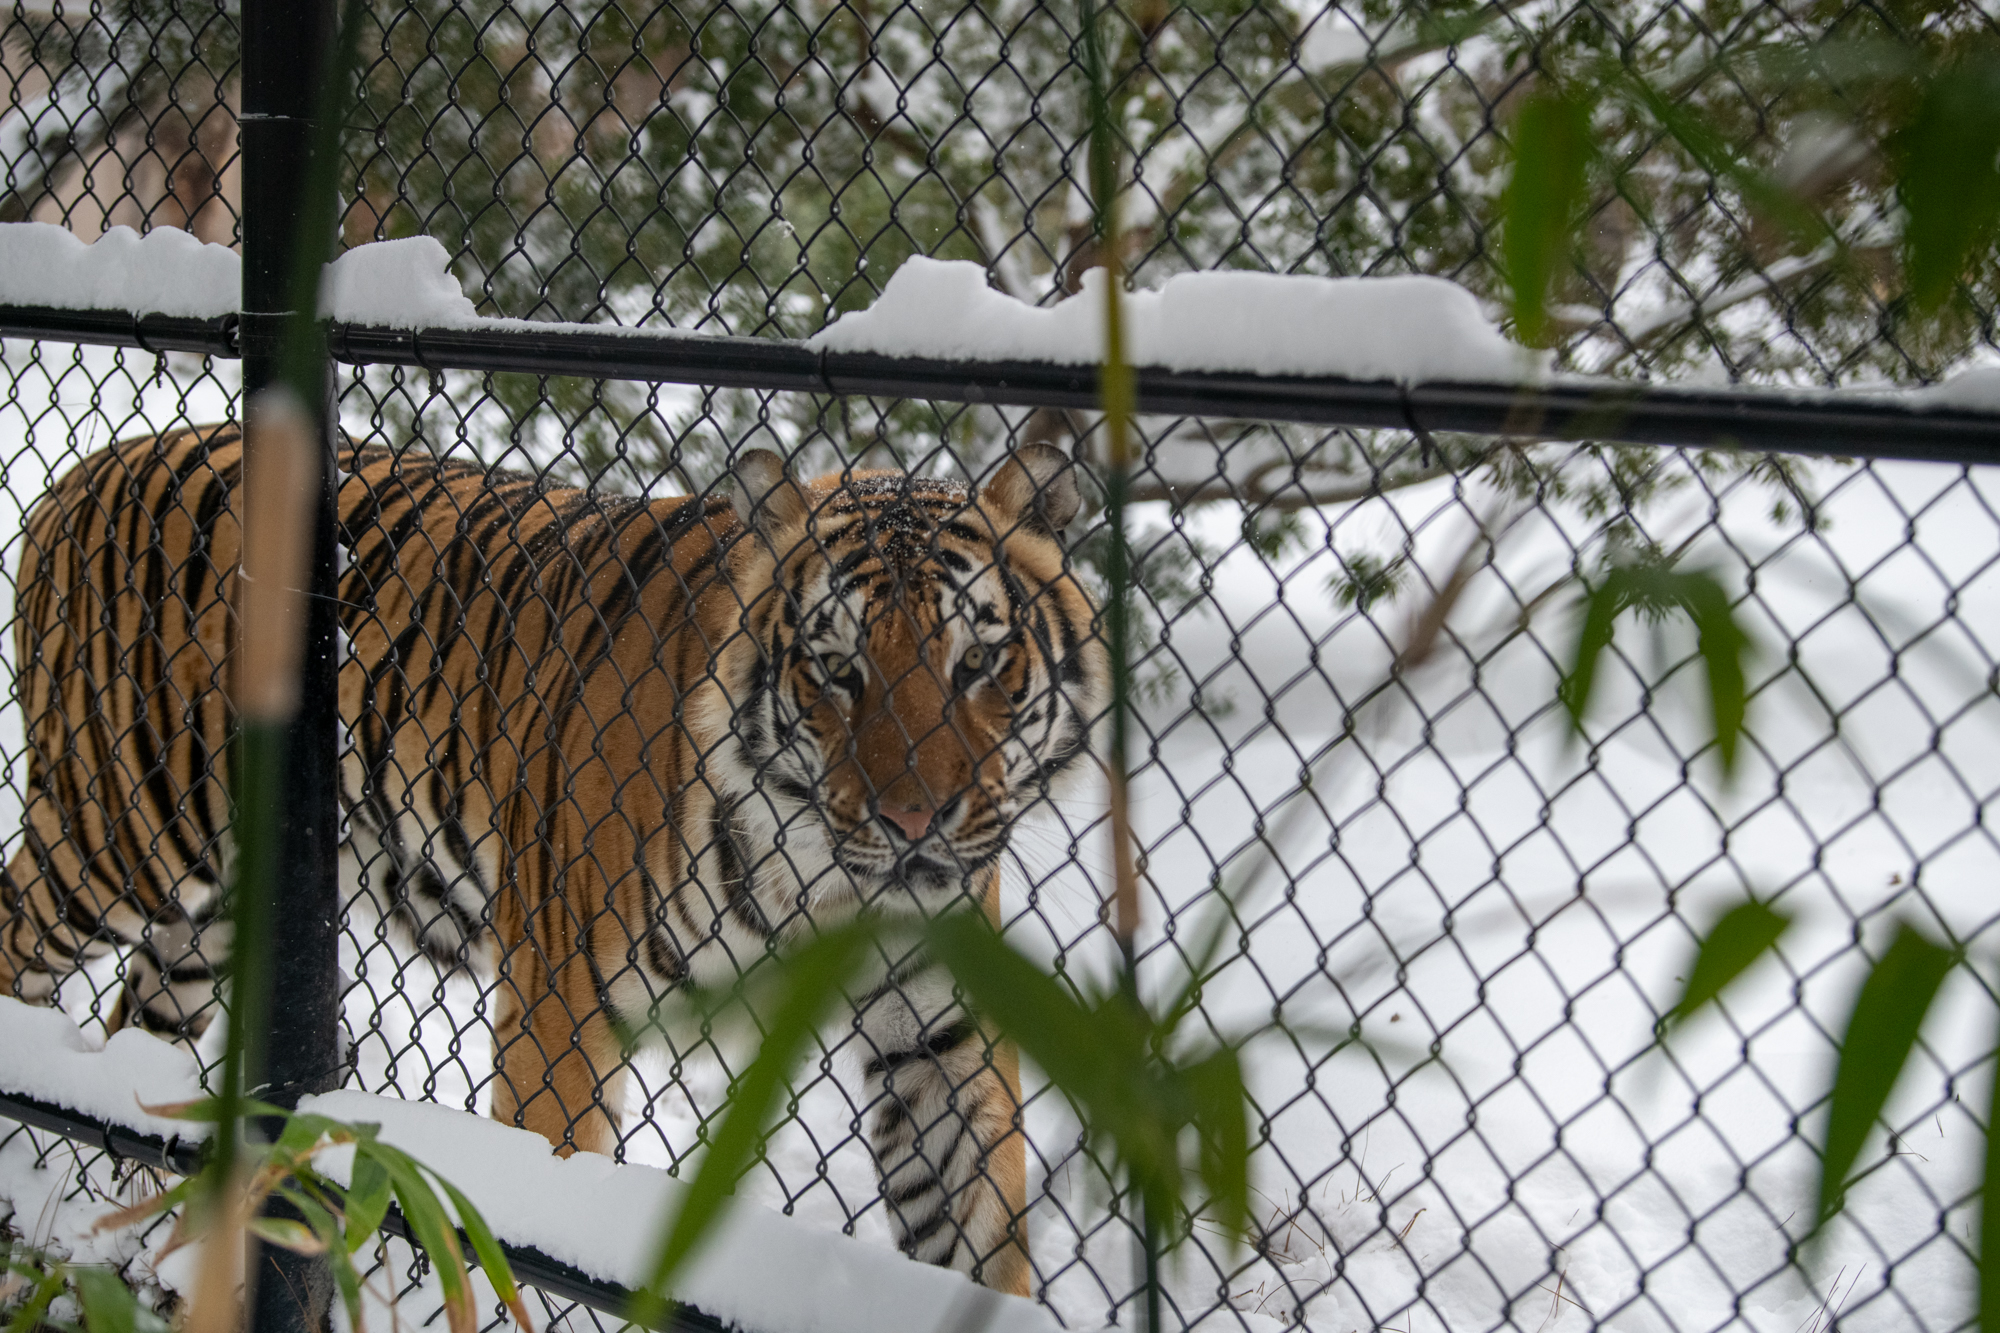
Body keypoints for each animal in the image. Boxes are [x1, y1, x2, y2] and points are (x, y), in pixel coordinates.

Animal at [0, 418, 1112, 1288]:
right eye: (835, 667)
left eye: (979, 658)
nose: (912, 821)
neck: (827, 881)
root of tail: (89, 467)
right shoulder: (564, 1002)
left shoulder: (941, 1033)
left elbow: (979, 1240)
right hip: (119, 830)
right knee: (20, 952)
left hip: (214, 910)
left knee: (139, 1043)